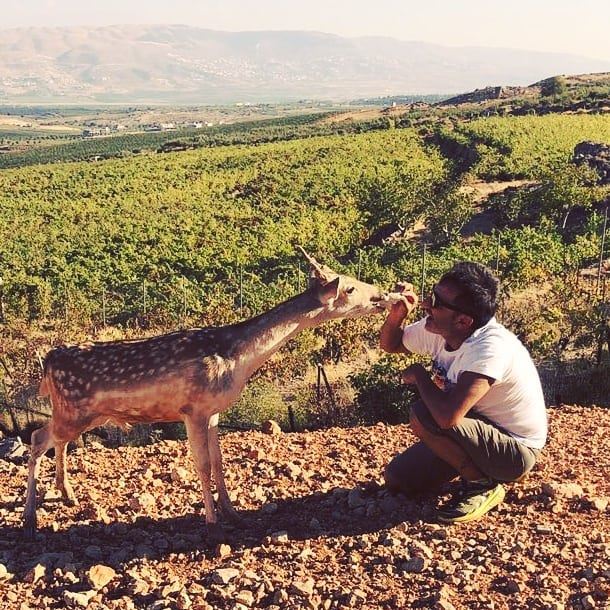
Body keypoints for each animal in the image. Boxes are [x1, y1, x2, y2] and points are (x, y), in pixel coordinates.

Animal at [23, 247, 402, 536]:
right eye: (349, 288)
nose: (383, 294)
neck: (240, 359)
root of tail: (48, 360)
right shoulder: (192, 409)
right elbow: (202, 464)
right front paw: (211, 521)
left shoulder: (215, 410)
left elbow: (219, 461)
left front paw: (232, 511)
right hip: (73, 410)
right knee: (38, 438)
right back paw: (30, 518)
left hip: (84, 414)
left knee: (54, 439)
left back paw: (67, 495)